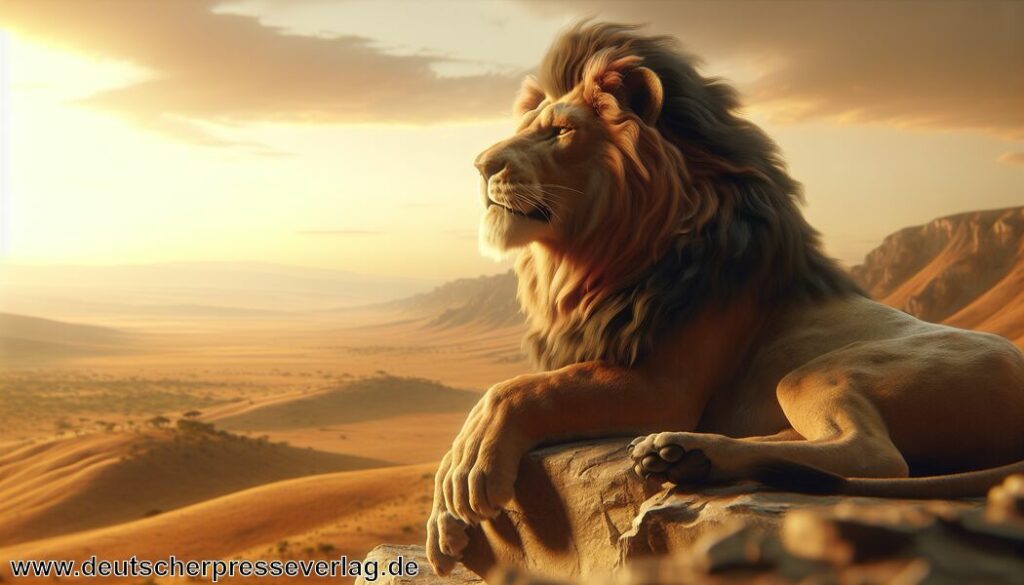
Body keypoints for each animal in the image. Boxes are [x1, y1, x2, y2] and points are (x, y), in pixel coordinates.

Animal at [426, 22, 1024, 575]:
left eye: (560, 131)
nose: (481, 166)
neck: (591, 261)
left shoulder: (664, 387)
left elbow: (517, 389)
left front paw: (471, 467)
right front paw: (443, 520)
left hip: (815, 372)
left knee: (879, 458)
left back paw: (682, 455)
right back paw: (686, 456)